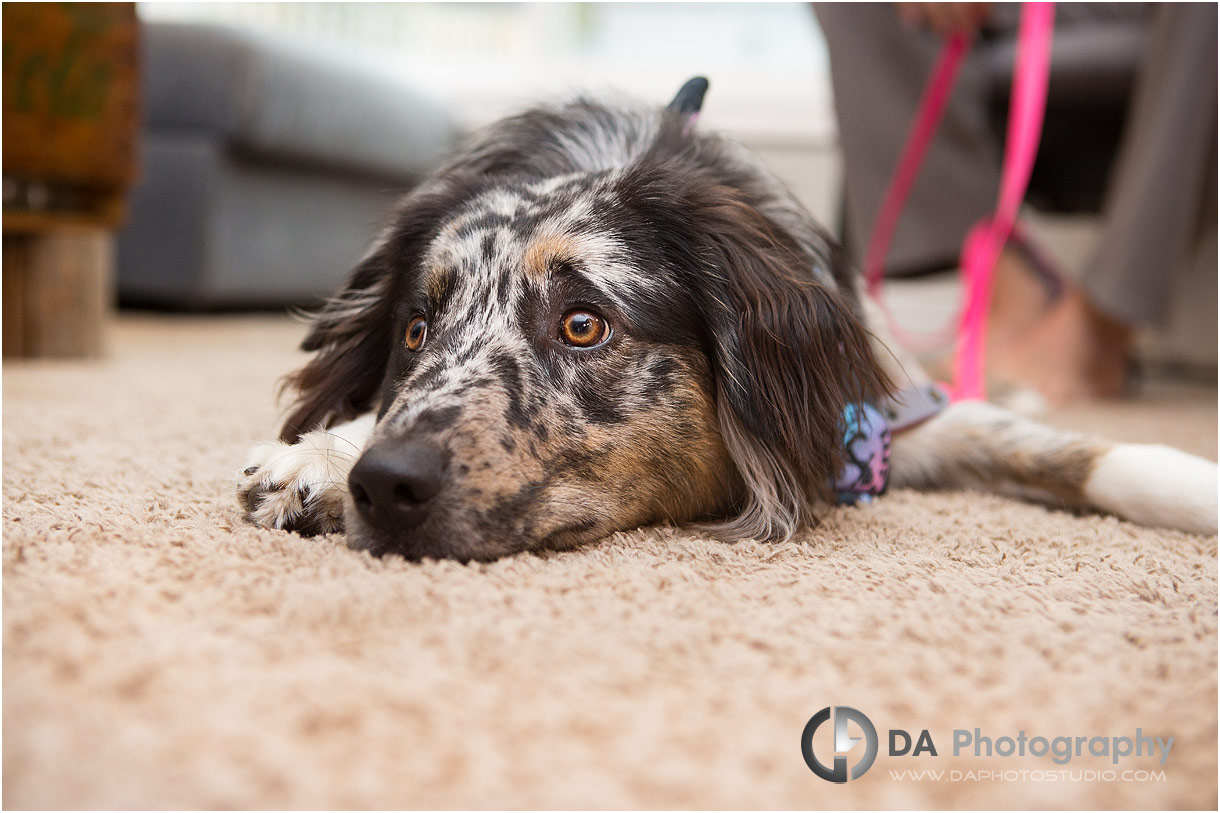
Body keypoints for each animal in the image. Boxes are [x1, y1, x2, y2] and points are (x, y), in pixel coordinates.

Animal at [233, 82, 1215, 561]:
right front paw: (320, 457)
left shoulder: (879, 416)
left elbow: (1081, 451)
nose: (387, 484)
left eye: (583, 324)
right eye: (416, 331)